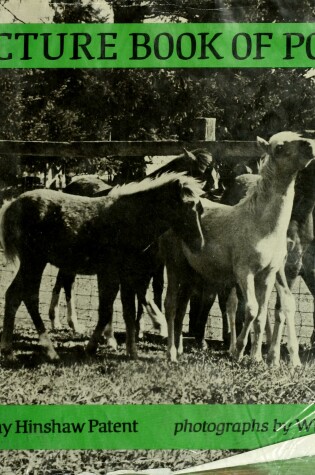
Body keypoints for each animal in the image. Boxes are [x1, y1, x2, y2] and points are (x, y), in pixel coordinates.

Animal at [0, 174, 205, 360]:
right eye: (186, 206)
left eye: (200, 209)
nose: (199, 244)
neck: (130, 220)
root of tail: (12, 205)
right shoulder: (112, 273)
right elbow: (107, 310)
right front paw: (93, 347)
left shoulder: (126, 275)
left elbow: (127, 311)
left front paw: (131, 350)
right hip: (34, 262)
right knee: (30, 297)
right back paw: (50, 350)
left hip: (33, 263)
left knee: (13, 295)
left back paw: (9, 350)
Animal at [163, 132, 315, 366]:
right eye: (279, 147)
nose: (310, 145)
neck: (260, 225)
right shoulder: (244, 272)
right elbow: (250, 310)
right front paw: (238, 351)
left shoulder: (268, 274)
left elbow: (262, 314)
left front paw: (257, 358)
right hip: (174, 263)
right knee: (170, 304)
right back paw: (171, 352)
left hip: (191, 271)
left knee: (182, 305)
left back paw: (179, 349)